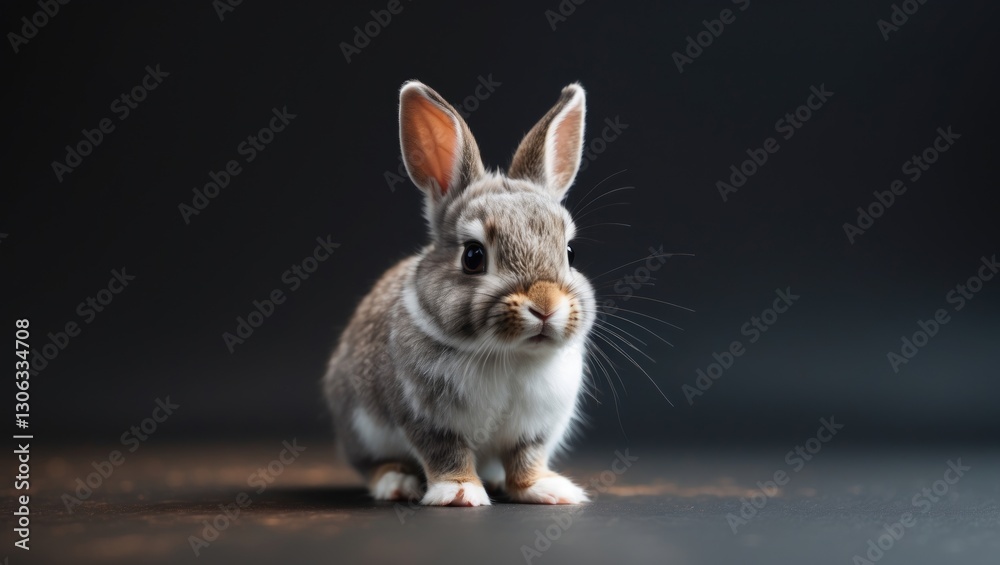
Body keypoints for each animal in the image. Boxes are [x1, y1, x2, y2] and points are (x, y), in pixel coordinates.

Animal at [323, 79, 596, 506]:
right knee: (374, 465)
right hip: (360, 430)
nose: (545, 306)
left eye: (570, 252)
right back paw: (396, 483)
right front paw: (459, 493)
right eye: (473, 256)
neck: (509, 355)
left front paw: (548, 489)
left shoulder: (534, 428)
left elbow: (526, 459)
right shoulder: (426, 418)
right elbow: (446, 452)